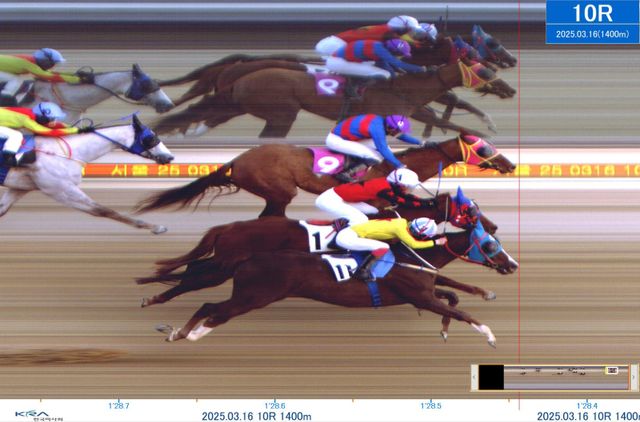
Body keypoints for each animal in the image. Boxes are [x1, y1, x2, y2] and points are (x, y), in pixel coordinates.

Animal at [0, 115, 174, 233]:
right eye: (151, 138)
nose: (170, 157)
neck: (64, 152)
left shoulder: (20, 188)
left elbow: (2, 209)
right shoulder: (61, 189)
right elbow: (103, 210)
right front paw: (155, 227)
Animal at [149, 221, 518, 346]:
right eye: (490, 245)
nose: (513, 265)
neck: (411, 254)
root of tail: (247, 257)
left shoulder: (420, 294)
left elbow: (452, 300)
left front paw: (443, 330)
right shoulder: (420, 297)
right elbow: (463, 312)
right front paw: (490, 336)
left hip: (251, 295)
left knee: (211, 306)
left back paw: (177, 332)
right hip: (254, 296)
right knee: (214, 308)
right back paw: (189, 333)